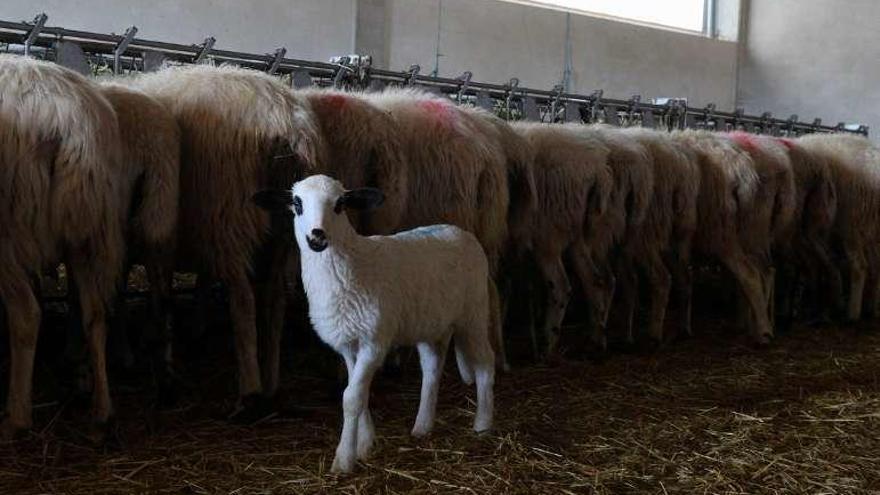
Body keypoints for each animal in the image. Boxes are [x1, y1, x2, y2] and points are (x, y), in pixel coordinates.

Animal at [0, 54, 127, 438]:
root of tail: (71, 119)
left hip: (11, 223)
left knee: (27, 315)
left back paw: (16, 419)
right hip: (90, 228)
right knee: (96, 314)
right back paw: (102, 412)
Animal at [131, 64, 324, 416]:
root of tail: (286, 124)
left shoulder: (160, 236)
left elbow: (161, 292)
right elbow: (199, 282)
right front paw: (196, 329)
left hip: (230, 216)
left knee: (243, 301)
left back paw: (249, 392)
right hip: (285, 231)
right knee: (276, 297)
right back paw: (271, 383)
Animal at [251, 174, 496, 472]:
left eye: (340, 204)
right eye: (297, 204)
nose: (317, 236)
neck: (353, 265)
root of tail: (459, 231)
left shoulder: (374, 340)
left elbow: (351, 397)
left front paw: (344, 459)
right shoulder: (348, 343)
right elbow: (359, 393)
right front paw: (365, 445)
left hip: (474, 313)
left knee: (484, 364)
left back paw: (483, 425)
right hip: (430, 322)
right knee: (432, 368)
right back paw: (422, 426)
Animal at [508, 122, 612, 356]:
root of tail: (597, 169)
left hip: (548, 233)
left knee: (561, 286)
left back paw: (548, 344)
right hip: (576, 234)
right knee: (595, 280)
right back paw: (596, 341)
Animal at [796, 134, 880, 324]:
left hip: (851, 223)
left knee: (859, 266)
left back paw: (852, 312)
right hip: (869, 229)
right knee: (874, 265)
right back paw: (872, 308)